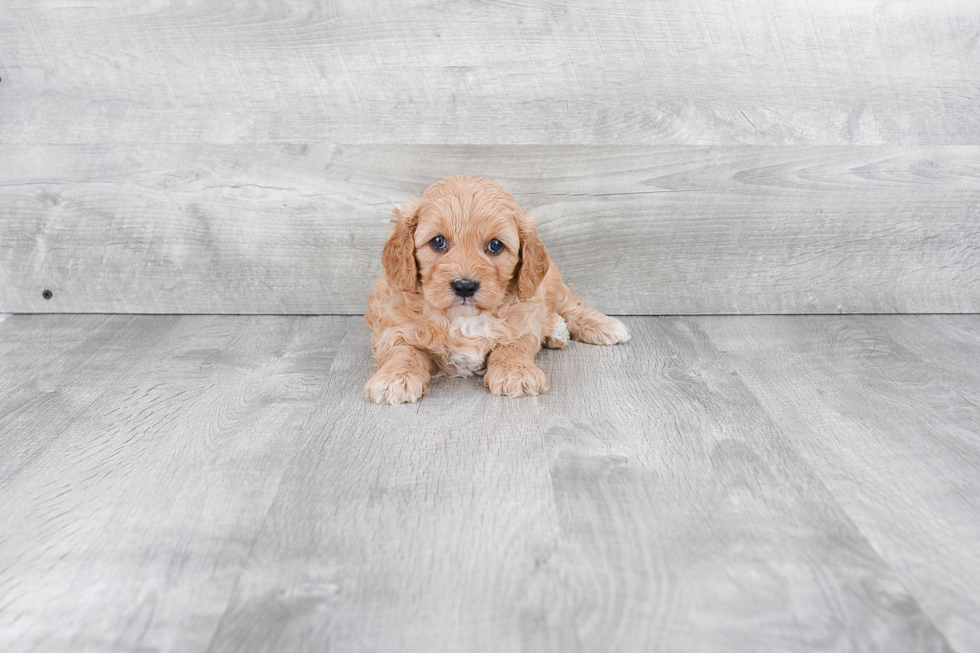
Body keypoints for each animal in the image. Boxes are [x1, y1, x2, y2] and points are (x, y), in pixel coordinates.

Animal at [364, 173, 632, 402]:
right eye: (437, 241)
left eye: (495, 245)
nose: (464, 286)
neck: (464, 319)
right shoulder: (394, 325)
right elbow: (402, 350)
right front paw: (394, 379)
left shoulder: (522, 320)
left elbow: (514, 344)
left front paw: (515, 372)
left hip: (550, 283)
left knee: (570, 305)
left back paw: (603, 326)